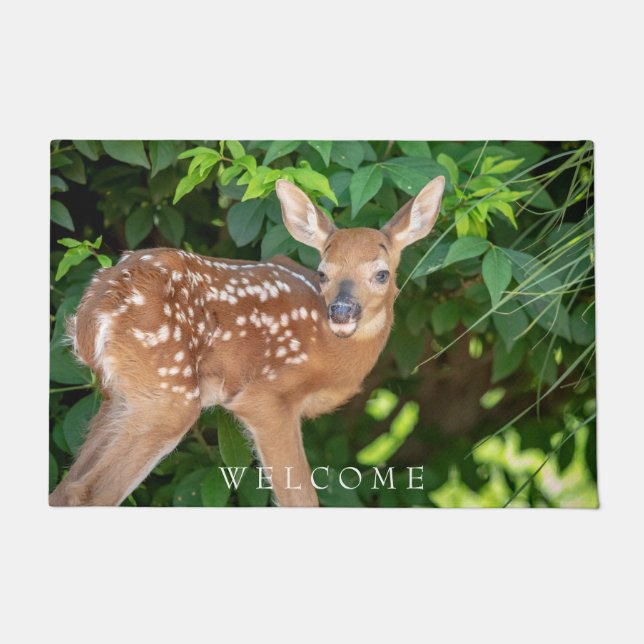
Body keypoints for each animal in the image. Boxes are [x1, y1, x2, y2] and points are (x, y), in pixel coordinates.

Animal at [49, 175, 445, 507]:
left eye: (382, 274)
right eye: (322, 273)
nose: (342, 311)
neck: (331, 352)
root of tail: (91, 312)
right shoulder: (266, 395)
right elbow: (301, 499)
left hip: (120, 395)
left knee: (64, 487)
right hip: (167, 391)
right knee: (89, 492)